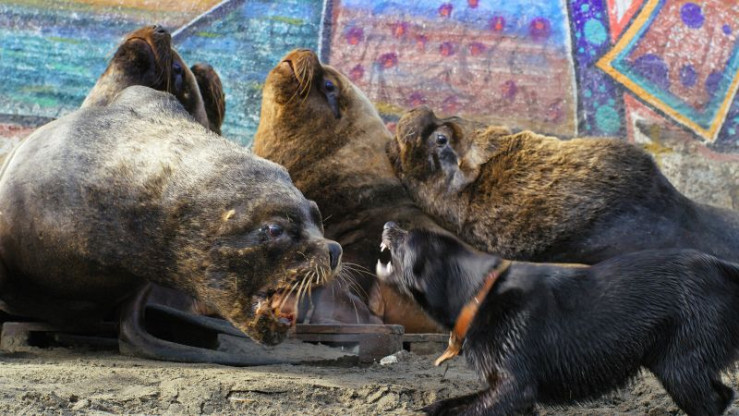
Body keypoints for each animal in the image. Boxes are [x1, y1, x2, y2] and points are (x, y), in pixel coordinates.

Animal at [377, 222, 739, 416]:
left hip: (679, 367)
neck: (477, 293)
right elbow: (447, 403)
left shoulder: (515, 388)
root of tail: (723, 268)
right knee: (723, 394)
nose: (388, 225)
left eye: (408, 237)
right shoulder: (504, 391)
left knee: (715, 399)